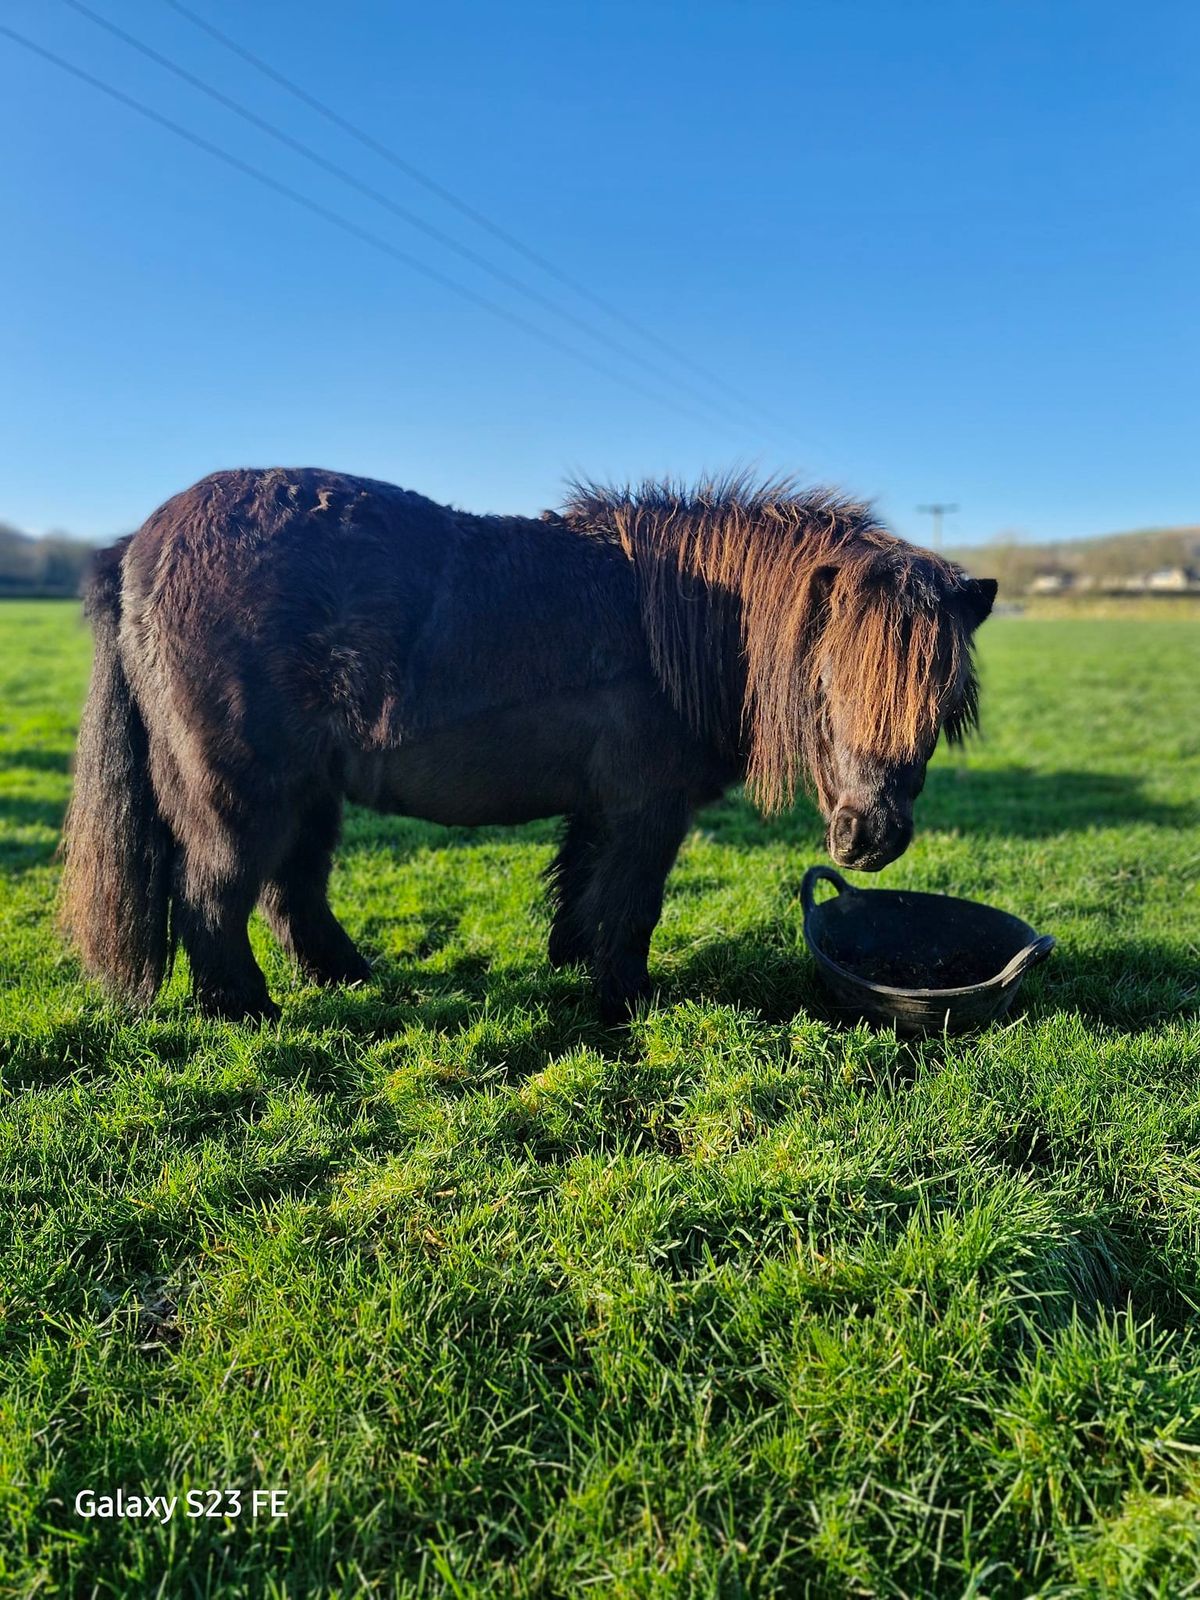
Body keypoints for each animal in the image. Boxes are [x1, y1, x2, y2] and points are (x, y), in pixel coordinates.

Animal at [61, 470, 998, 1024]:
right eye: (827, 683)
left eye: (944, 702)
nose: (870, 838)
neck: (683, 623)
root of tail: (136, 549)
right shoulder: (646, 811)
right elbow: (631, 904)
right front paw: (627, 1000)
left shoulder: (603, 808)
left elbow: (582, 892)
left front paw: (575, 970)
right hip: (242, 792)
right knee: (212, 897)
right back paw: (245, 1011)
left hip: (307, 794)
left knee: (291, 894)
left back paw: (348, 979)